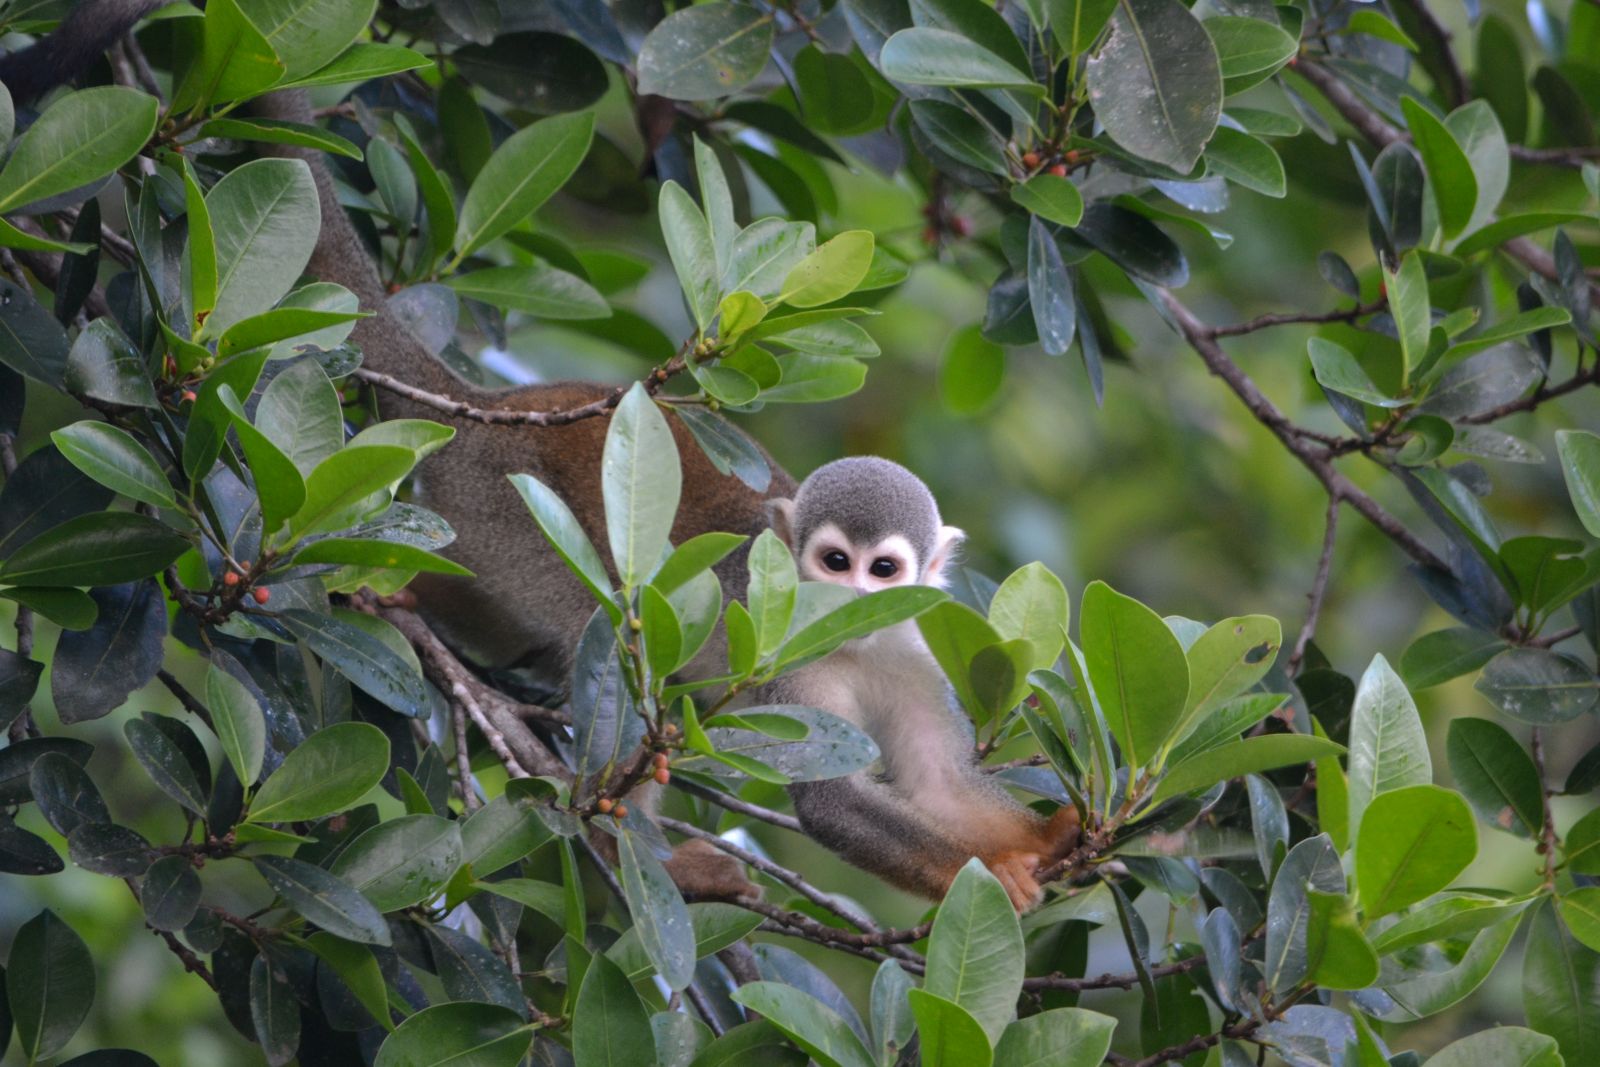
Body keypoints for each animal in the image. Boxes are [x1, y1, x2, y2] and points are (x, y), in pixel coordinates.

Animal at [762, 458, 1080, 911]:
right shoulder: (792, 652)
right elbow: (833, 798)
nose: (857, 600)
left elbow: (937, 782)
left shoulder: (918, 655)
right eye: (836, 562)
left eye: (882, 570)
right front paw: (994, 875)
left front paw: (1050, 837)